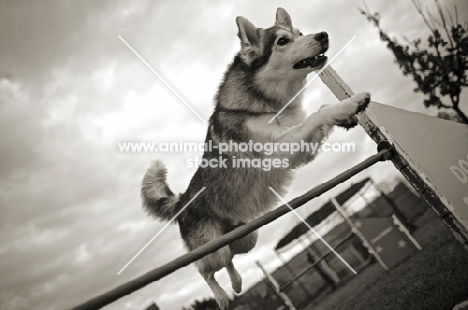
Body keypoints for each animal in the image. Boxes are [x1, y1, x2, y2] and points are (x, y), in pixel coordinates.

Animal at [141, 7, 372, 310]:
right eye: (282, 41)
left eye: (300, 33)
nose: (323, 35)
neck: (272, 106)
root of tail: (182, 199)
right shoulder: (277, 151)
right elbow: (317, 113)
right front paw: (352, 103)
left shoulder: (300, 148)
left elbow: (320, 110)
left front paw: (343, 116)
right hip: (213, 249)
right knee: (206, 271)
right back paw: (221, 296)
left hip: (247, 238)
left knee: (229, 261)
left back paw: (237, 283)